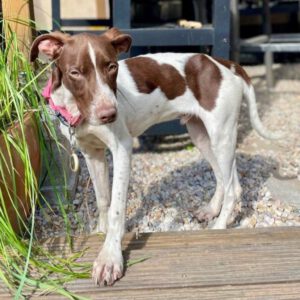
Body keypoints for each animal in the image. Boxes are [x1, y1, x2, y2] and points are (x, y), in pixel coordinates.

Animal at [30, 27, 278, 286]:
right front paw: (101, 232)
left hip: (221, 134)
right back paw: (211, 210)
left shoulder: (122, 149)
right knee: (227, 178)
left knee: (231, 187)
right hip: (202, 135)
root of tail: (225, 64)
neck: (75, 107)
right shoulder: (92, 153)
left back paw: (219, 225)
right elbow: (103, 200)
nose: (110, 114)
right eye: (75, 72)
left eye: (112, 67)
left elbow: (117, 208)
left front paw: (110, 258)